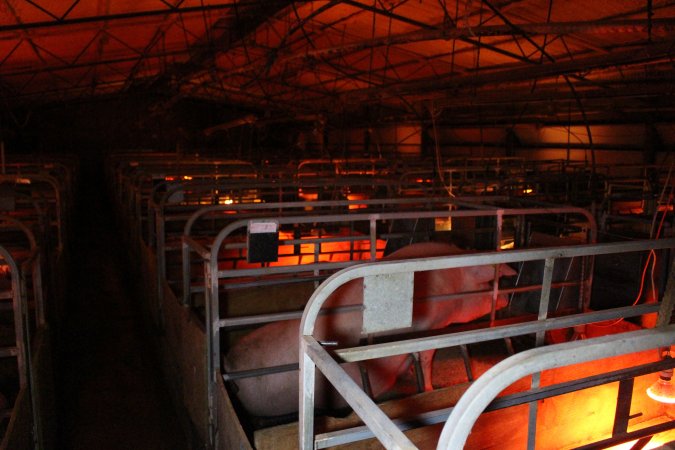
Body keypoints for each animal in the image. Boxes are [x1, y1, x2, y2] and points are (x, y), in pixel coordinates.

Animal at [224, 244, 516, 416]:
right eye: (489, 282)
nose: (508, 296)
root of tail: (228, 361)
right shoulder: (429, 327)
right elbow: (425, 357)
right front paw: (429, 388)